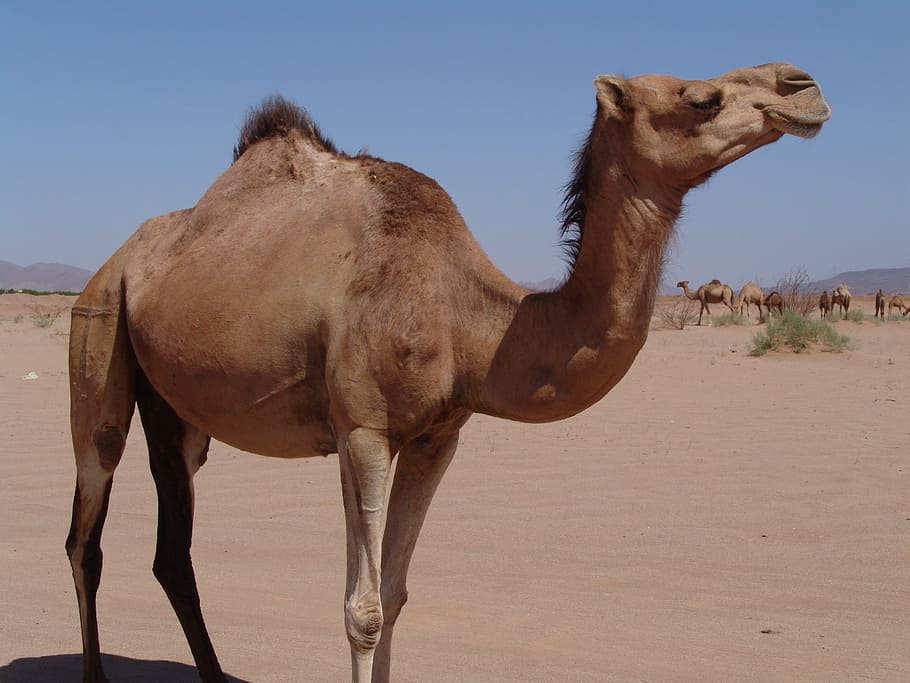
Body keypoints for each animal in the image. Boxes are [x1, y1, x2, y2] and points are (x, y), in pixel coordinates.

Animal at [66, 63, 829, 683]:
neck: (467, 320)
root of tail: (121, 259)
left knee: (172, 547)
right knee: (88, 521)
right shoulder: (362, 427)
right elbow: (363, 609)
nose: (804, 86)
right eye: (702, 97)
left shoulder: (439, 435)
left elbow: (396, 596)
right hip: (98, 325)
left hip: (176, 409)